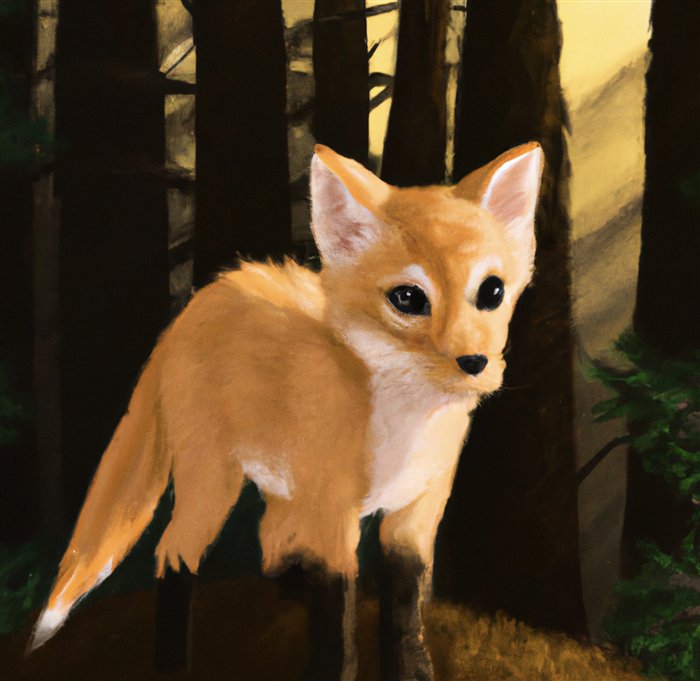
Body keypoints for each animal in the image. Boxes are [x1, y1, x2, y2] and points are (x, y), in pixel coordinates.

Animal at [28, 142, 543, 680]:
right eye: (407, 298)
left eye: (492, 291)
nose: (474, 363)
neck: (402, 431)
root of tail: (197, 304)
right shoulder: (332, 514)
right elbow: (337, 618)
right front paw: (333, 669)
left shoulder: (416, 513)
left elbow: (404, 609)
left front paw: (413, 670)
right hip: (213, 483)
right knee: (176, 554)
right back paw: (172, 664)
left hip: (281, 490)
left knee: (272, 539)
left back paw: (286, 591)